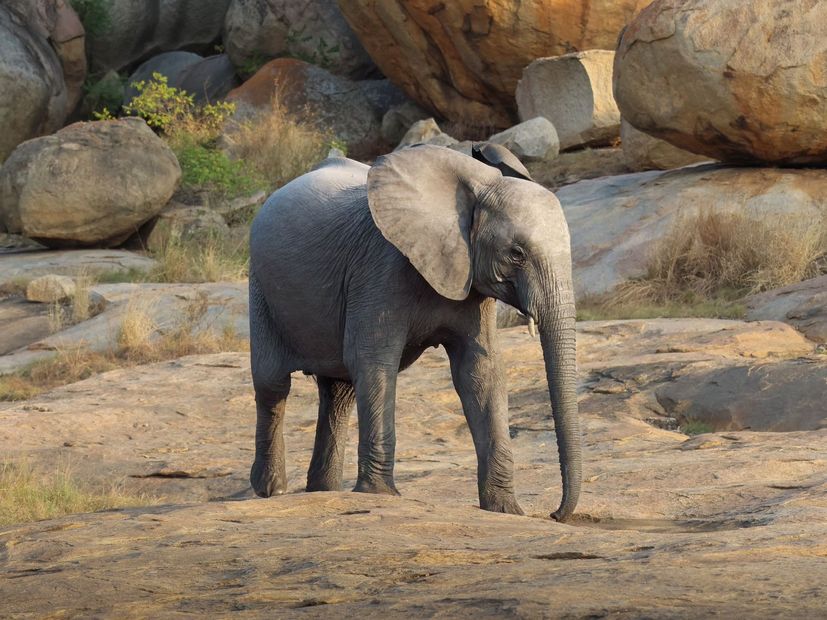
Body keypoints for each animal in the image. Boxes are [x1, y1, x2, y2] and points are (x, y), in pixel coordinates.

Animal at [248, 144, 581, 521]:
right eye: (517, 254)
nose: (554, 514)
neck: (476, 185)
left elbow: (481, 373)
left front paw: (506, 511)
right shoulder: (380, 266)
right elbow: (374, 361)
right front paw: (381, 496)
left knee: (339, 393)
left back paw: (323, 491)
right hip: (260, 287)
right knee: (273, 384)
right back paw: (272, 489)